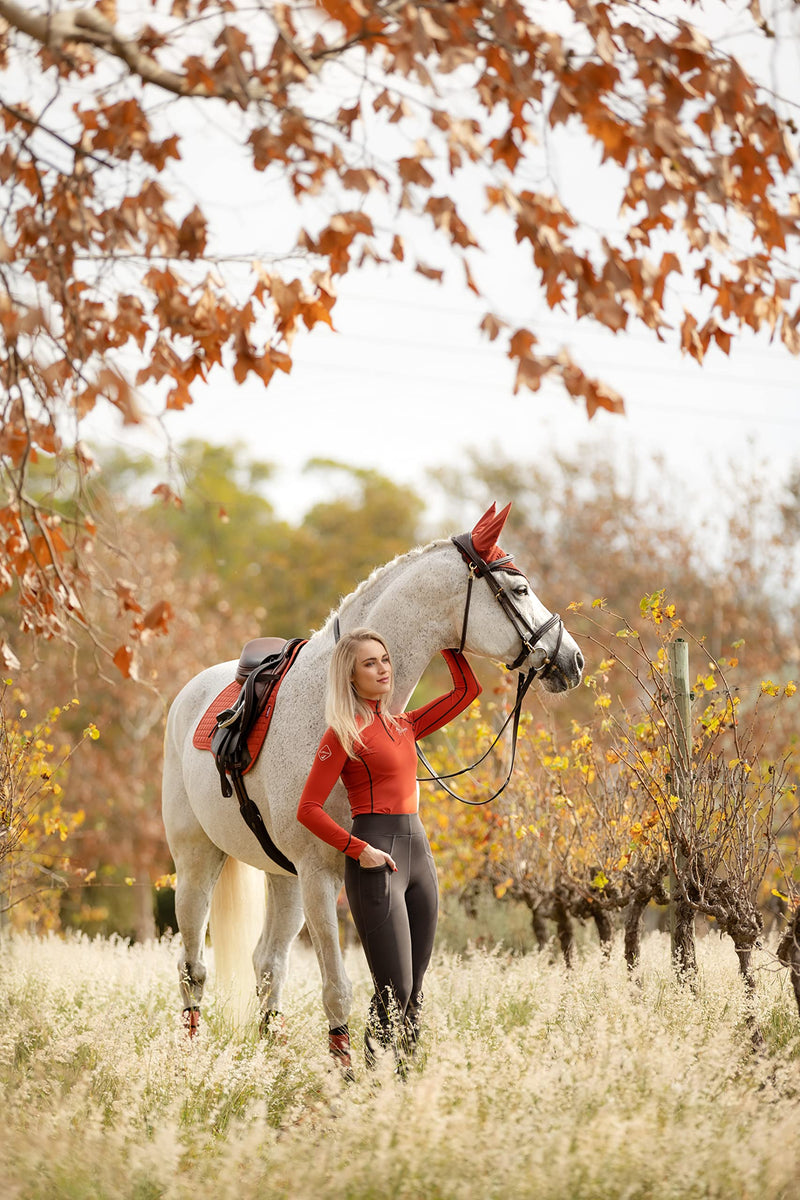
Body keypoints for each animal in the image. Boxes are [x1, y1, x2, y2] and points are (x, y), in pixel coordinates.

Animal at [163, 501, 585, 1046]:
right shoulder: (320, 877)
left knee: (267, 965)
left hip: (282, 877)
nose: (573, 660)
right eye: (520, 590)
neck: (334, 702)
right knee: (193, 966)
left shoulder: (311, 876)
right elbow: (338, 992)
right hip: (198, 862)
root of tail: (189, 694)